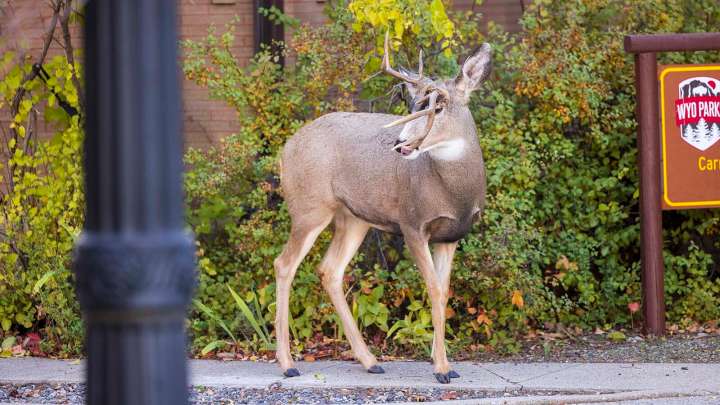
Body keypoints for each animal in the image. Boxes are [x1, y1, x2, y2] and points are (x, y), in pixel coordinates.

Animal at [273, 32, 491, 384]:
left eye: (439, 106)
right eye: (414, 105)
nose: (401, 143)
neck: (453, 192)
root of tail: (285, 149)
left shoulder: (450, 236)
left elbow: (444, 291)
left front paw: (442, 361)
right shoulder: (412, 224)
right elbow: (433, 289)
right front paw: (442, 369)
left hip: (353, 219)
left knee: (330, 270)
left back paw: (370, 360)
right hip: (309, 208)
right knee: (284, 264)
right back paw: (288, 363)